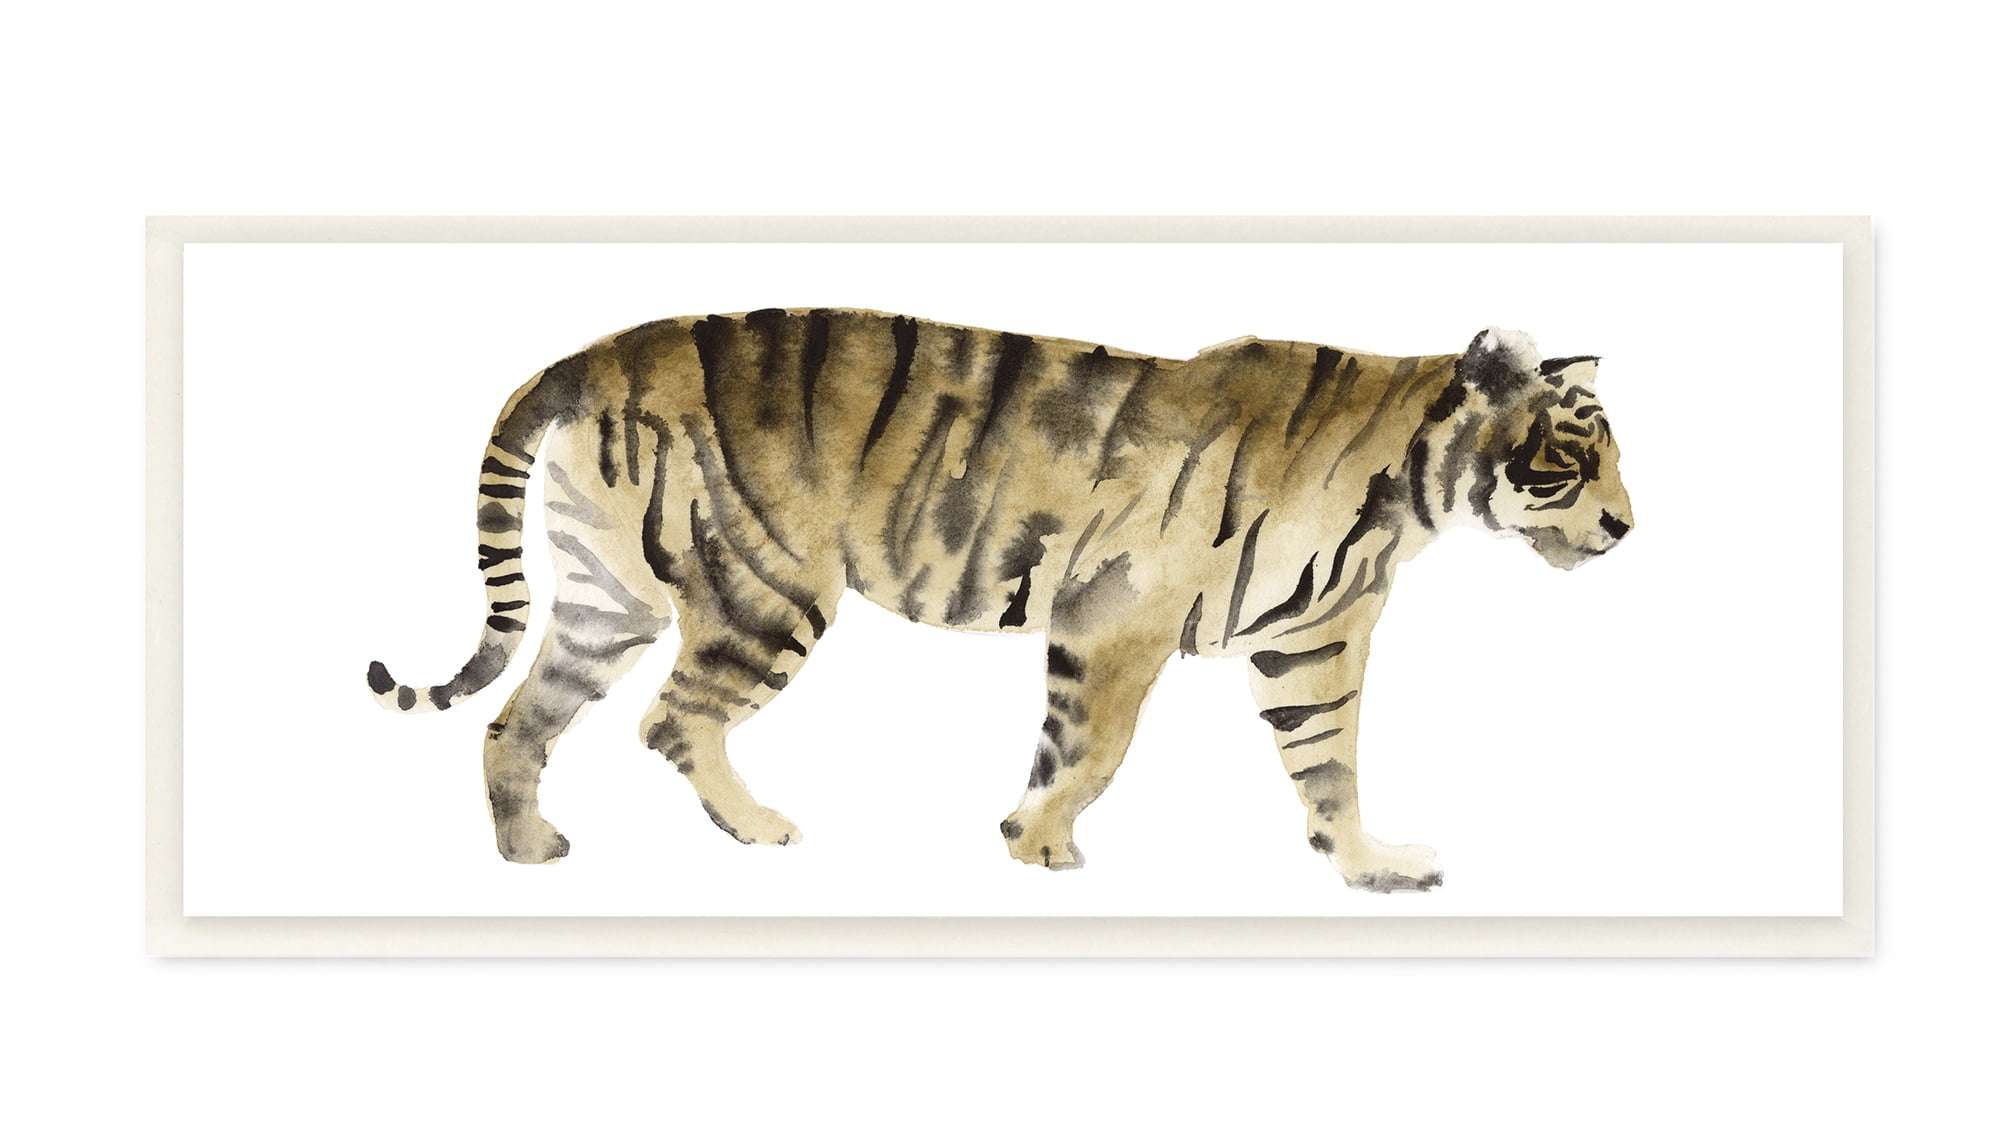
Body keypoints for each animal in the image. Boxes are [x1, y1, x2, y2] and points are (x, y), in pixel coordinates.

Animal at [367, 308, 1632, 891]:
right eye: (1571, 458)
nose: (1626, 527)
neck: (1409, 493)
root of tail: (599, 350)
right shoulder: (1121, 621)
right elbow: (1097, 750)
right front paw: (1040, 843)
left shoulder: (1310, 648)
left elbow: (1325, 761)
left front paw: (1369, 864)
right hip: (768, 586)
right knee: (671, 718)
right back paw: (757, 825)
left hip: (607, 597)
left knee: (516, 719)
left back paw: (526, 847)